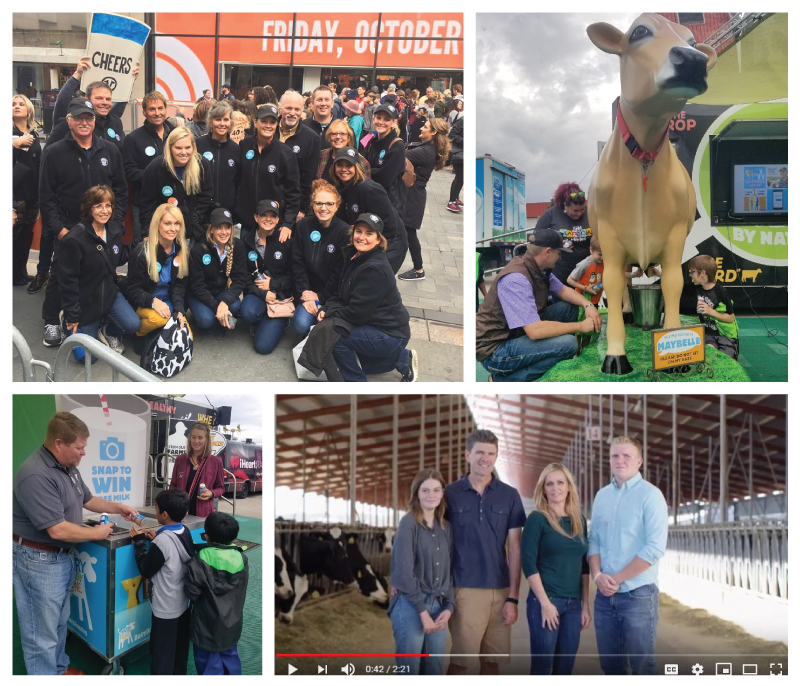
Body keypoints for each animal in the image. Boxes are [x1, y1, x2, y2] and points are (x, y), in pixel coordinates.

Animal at [584, 12, 716, 376]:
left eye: (691, 40)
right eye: (639, 31)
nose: (694, 60)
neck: (643, 157)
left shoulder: (675, 238)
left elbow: (672, 284)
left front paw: (675, 349)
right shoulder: (611, 240)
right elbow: (613, 287)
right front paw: (615, 355)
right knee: (624, 282)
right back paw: (630, 315)